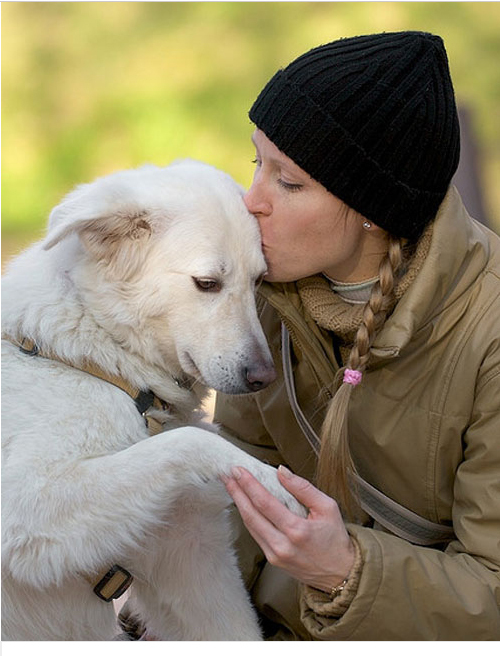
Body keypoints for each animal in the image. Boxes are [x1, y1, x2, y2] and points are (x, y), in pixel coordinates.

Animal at [1, 160, 302, 640]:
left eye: (258, 280)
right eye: (207, 283)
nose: (263, 378)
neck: (105, 356)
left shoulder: (192, 560)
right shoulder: (27, 507)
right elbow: (190, 442)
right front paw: (269, 480)